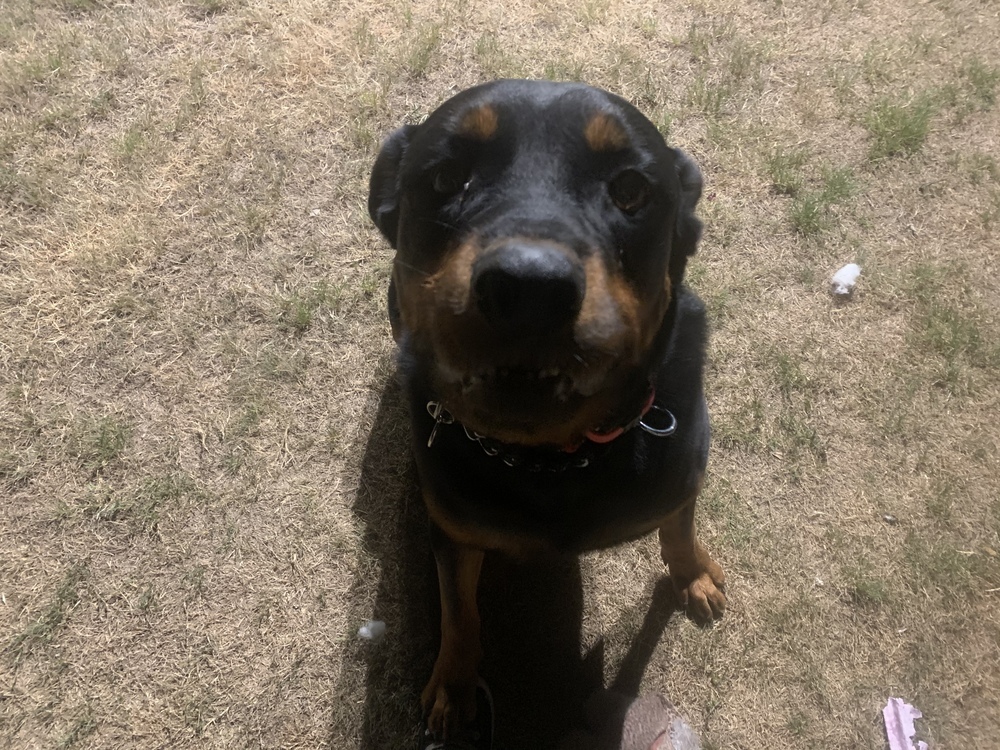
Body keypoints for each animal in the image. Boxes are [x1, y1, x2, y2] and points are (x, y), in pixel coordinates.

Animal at [372, 81, 724, 740]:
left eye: (631, 189)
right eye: (447, 176)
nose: (528, 287)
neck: (552, 460)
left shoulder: (681, 475)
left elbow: (678, 528)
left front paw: (693, 576)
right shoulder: (453, 531)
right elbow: (459, 614)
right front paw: (453, 688)